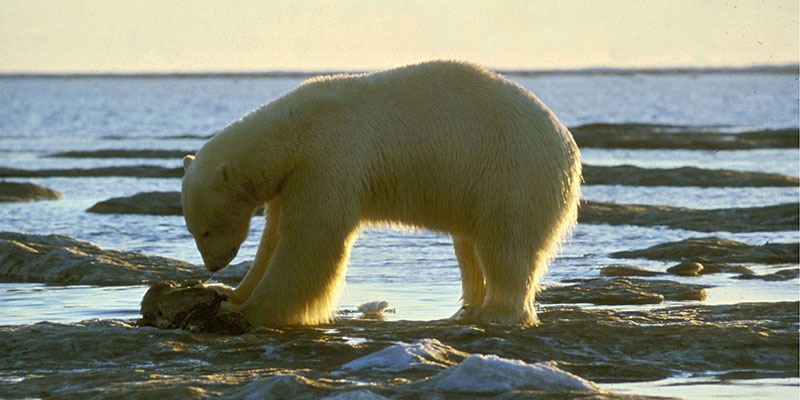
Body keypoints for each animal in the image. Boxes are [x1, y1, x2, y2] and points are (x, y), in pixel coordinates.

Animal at [181, 60, 581, 327]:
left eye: (205, 229)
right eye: (193, 229)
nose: (212, 266)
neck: (293, 132)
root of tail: (568, 147)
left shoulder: (328, 158)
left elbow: (311, 239)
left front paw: (250, 309)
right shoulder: (291, 180)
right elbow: (273, 239)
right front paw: (231, 292)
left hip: (511, 173)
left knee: (505, 245)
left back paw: (496, 313)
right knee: (470, 247)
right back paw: (468, 308)